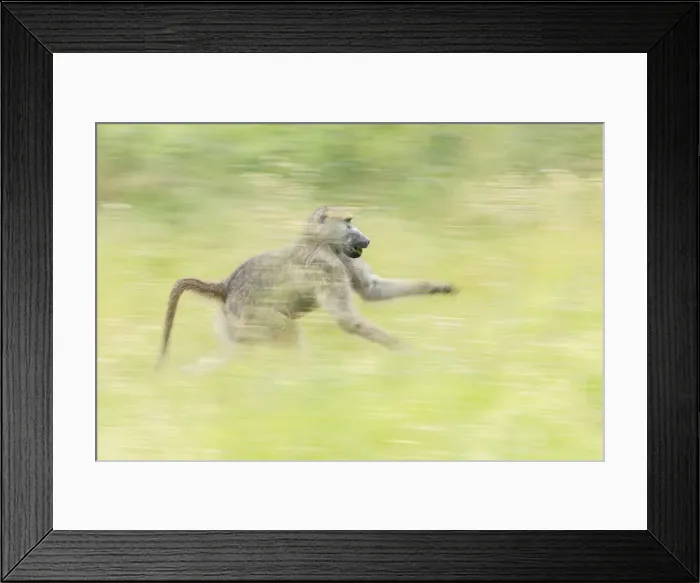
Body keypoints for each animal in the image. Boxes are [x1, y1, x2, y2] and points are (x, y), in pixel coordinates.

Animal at [156, 206, 457, 370]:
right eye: (348, 222)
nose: (366, 239)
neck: (319, 241)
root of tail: (226, 286)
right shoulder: (327, 265)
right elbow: (348, 320)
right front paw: (407, 352)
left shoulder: (343, 257)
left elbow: (372, 289)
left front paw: (438, 287)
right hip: (252, 321)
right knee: (288, 331)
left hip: (233, 329)